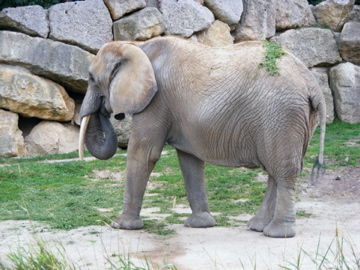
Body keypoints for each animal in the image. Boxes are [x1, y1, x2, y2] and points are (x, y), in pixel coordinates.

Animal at [79, 36, 326, 238]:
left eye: (91, 78)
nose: (110, 111)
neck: (135, 45)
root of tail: (312, 84)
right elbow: (189, 160)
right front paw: (200, 224)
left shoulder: (156, 101)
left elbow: (144, 154)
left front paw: (121, 226)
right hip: (294, 119)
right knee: (275, 170)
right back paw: (257, 227)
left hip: (282, 114)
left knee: (283, 170)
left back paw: (277, 233)